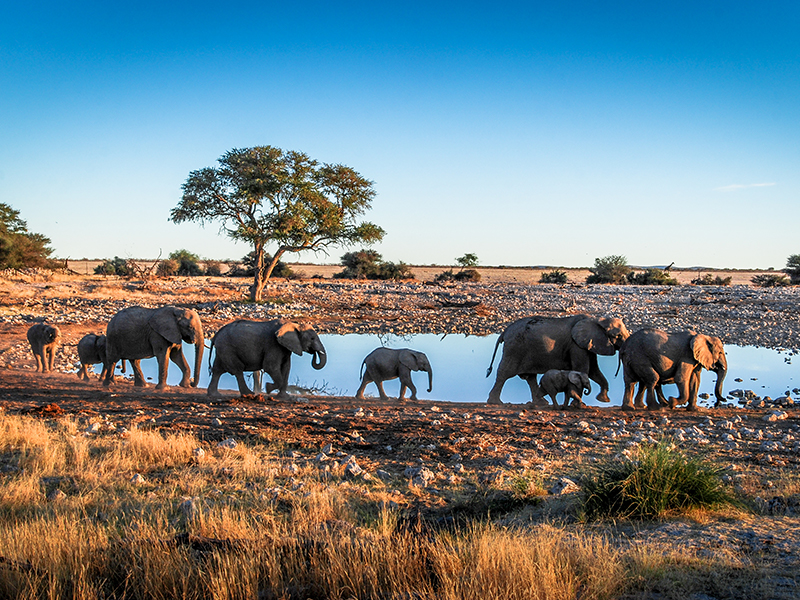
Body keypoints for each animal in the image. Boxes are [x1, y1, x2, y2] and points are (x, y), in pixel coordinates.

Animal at [484, 314, 628, 408]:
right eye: (617, 336)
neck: (597, 319)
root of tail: (505, 331)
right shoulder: (576, 346)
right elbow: (583, 369)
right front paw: (577, 404)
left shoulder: (586, 344)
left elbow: (594, 371)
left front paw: (603, 400)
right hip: (514, 348)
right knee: (505, 373)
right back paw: (495, 402)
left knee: (530, 377)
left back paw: (541, 403)